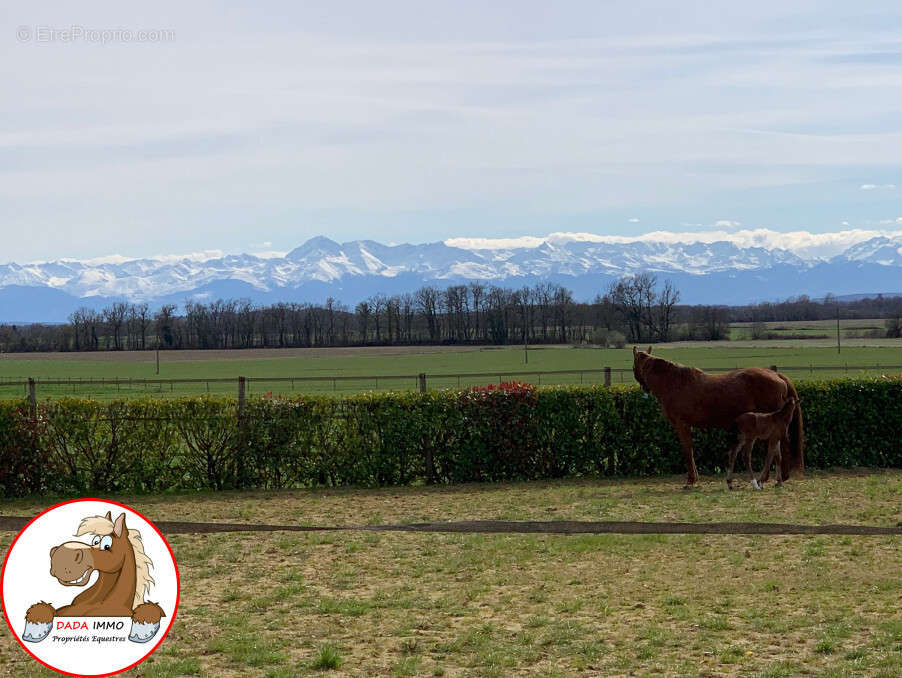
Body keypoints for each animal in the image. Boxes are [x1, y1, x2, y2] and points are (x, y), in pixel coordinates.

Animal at [636, 348, 804, 486]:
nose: (644, 387)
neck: (675, 383)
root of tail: (775, 374)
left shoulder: (681, 425)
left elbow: (687, 450)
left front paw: (691, 480)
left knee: (779, 447)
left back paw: (777, 477)